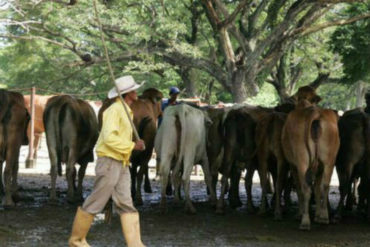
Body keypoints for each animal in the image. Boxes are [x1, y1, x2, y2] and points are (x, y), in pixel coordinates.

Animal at [282, 99, 340, 231]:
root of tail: (315, 113)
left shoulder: (293, 166)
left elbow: (300, 188)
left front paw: (300, 214)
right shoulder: (320, 168)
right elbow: (318, 188)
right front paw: (318, 215)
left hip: (302, 161)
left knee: (305, 188)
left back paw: (305, 221)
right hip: (329, 160)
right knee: (324, 186)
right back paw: (324, 217)